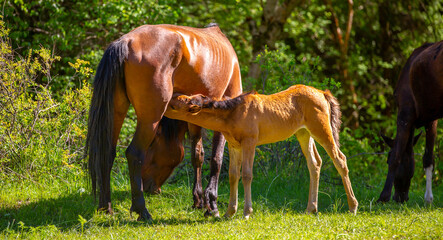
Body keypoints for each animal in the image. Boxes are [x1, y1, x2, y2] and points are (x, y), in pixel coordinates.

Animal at [86, 23, 243, 220]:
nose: (147, 186)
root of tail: (125, 42)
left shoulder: (194, 118)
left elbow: (197, 156)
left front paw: (198, 200)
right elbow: (216, 159)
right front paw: (211, 205)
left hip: (116, 111)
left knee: (107, 153)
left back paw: (105, 207)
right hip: (150, 119)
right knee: (134, 153)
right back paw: (142, 211)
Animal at [165, 84, 360, 218]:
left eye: (177, 104)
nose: (164, 104)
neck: (232, 114)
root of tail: (323, 93)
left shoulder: (249, 142)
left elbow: (247, 175)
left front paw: (246, 212)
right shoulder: (234, 146)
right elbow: (233, 175)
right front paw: (229, 212)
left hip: (321, 129)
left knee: (340, 159)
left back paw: (352, 207)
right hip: (304, 133)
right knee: (315, 164)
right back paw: (311, 208)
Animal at [380, 40, 442, 203]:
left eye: (386, 159)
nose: (400, 197)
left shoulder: (405, 115)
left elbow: (397, 155)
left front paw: (383, 196)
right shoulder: (431, 119)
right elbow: (428, 158)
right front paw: (428, 198)